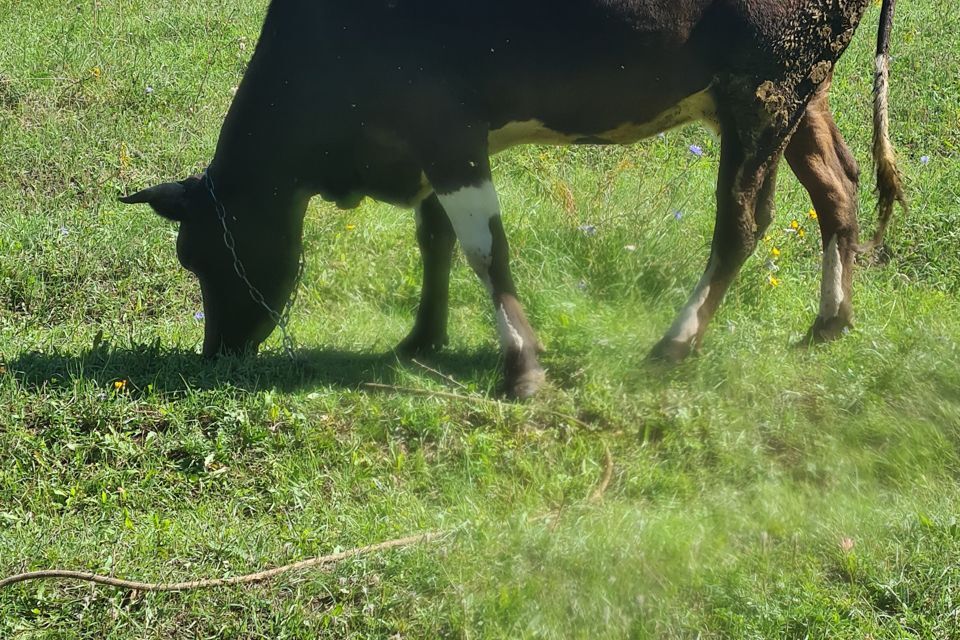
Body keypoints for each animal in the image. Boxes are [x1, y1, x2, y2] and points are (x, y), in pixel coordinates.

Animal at [120, 0, 900, 398]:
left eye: (199, 256)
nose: (215, 354)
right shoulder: (429, 139)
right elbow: (434, 237)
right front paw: (421, 339)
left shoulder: (446, 126)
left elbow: (484, 249)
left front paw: (523, 368)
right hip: (802, 85)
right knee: (839, 186)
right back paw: (830, 323)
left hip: (764, 85)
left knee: (743, 222)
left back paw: (674, 346)